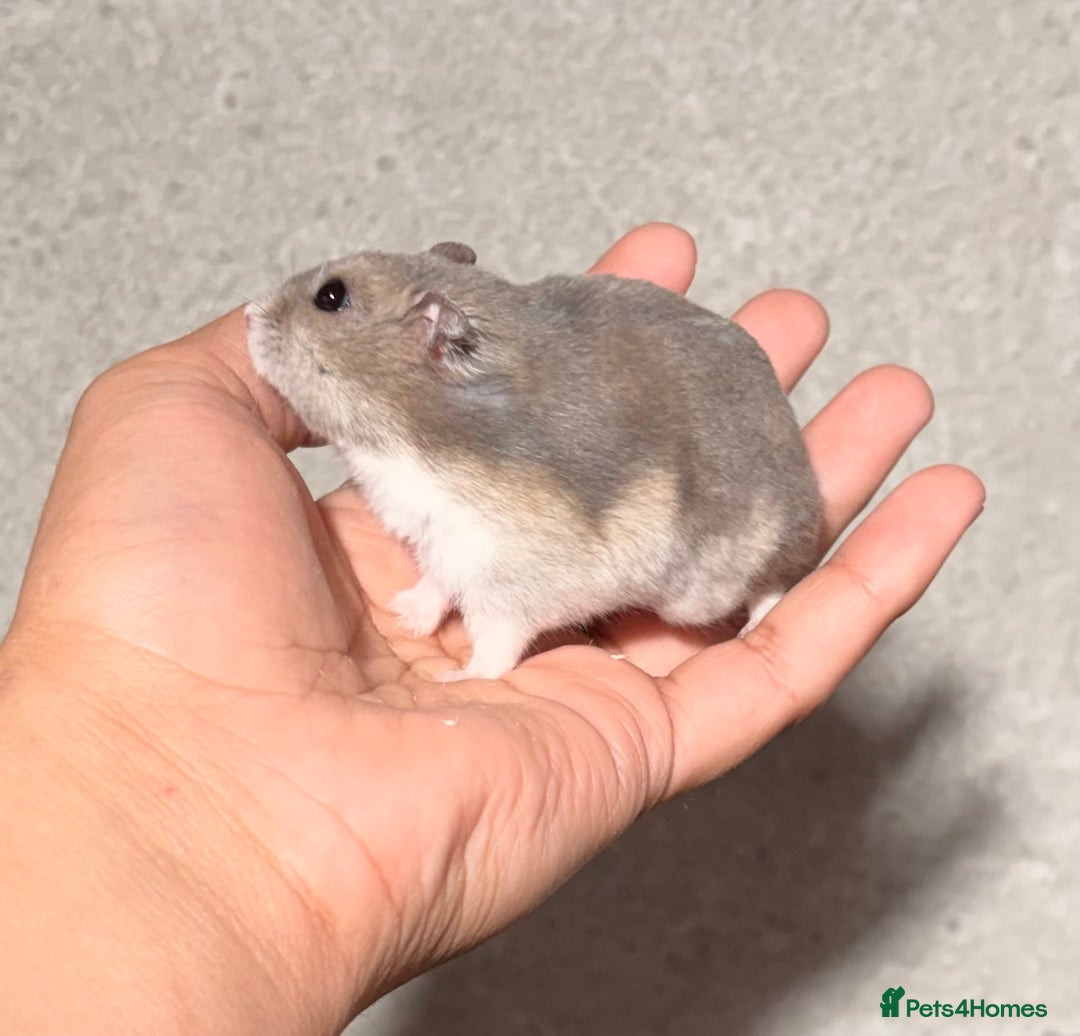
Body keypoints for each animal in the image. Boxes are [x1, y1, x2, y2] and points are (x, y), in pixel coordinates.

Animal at [246, 242, 822, 680]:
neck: (402, 440)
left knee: (772, 584)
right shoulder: (441, 546)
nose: (249, 314)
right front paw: (403, 616)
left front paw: (457, 678)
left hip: (715, 580)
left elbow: (495, 648)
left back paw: (755, 626)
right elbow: (435, 588)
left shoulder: (504, 585)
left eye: (331, 296)